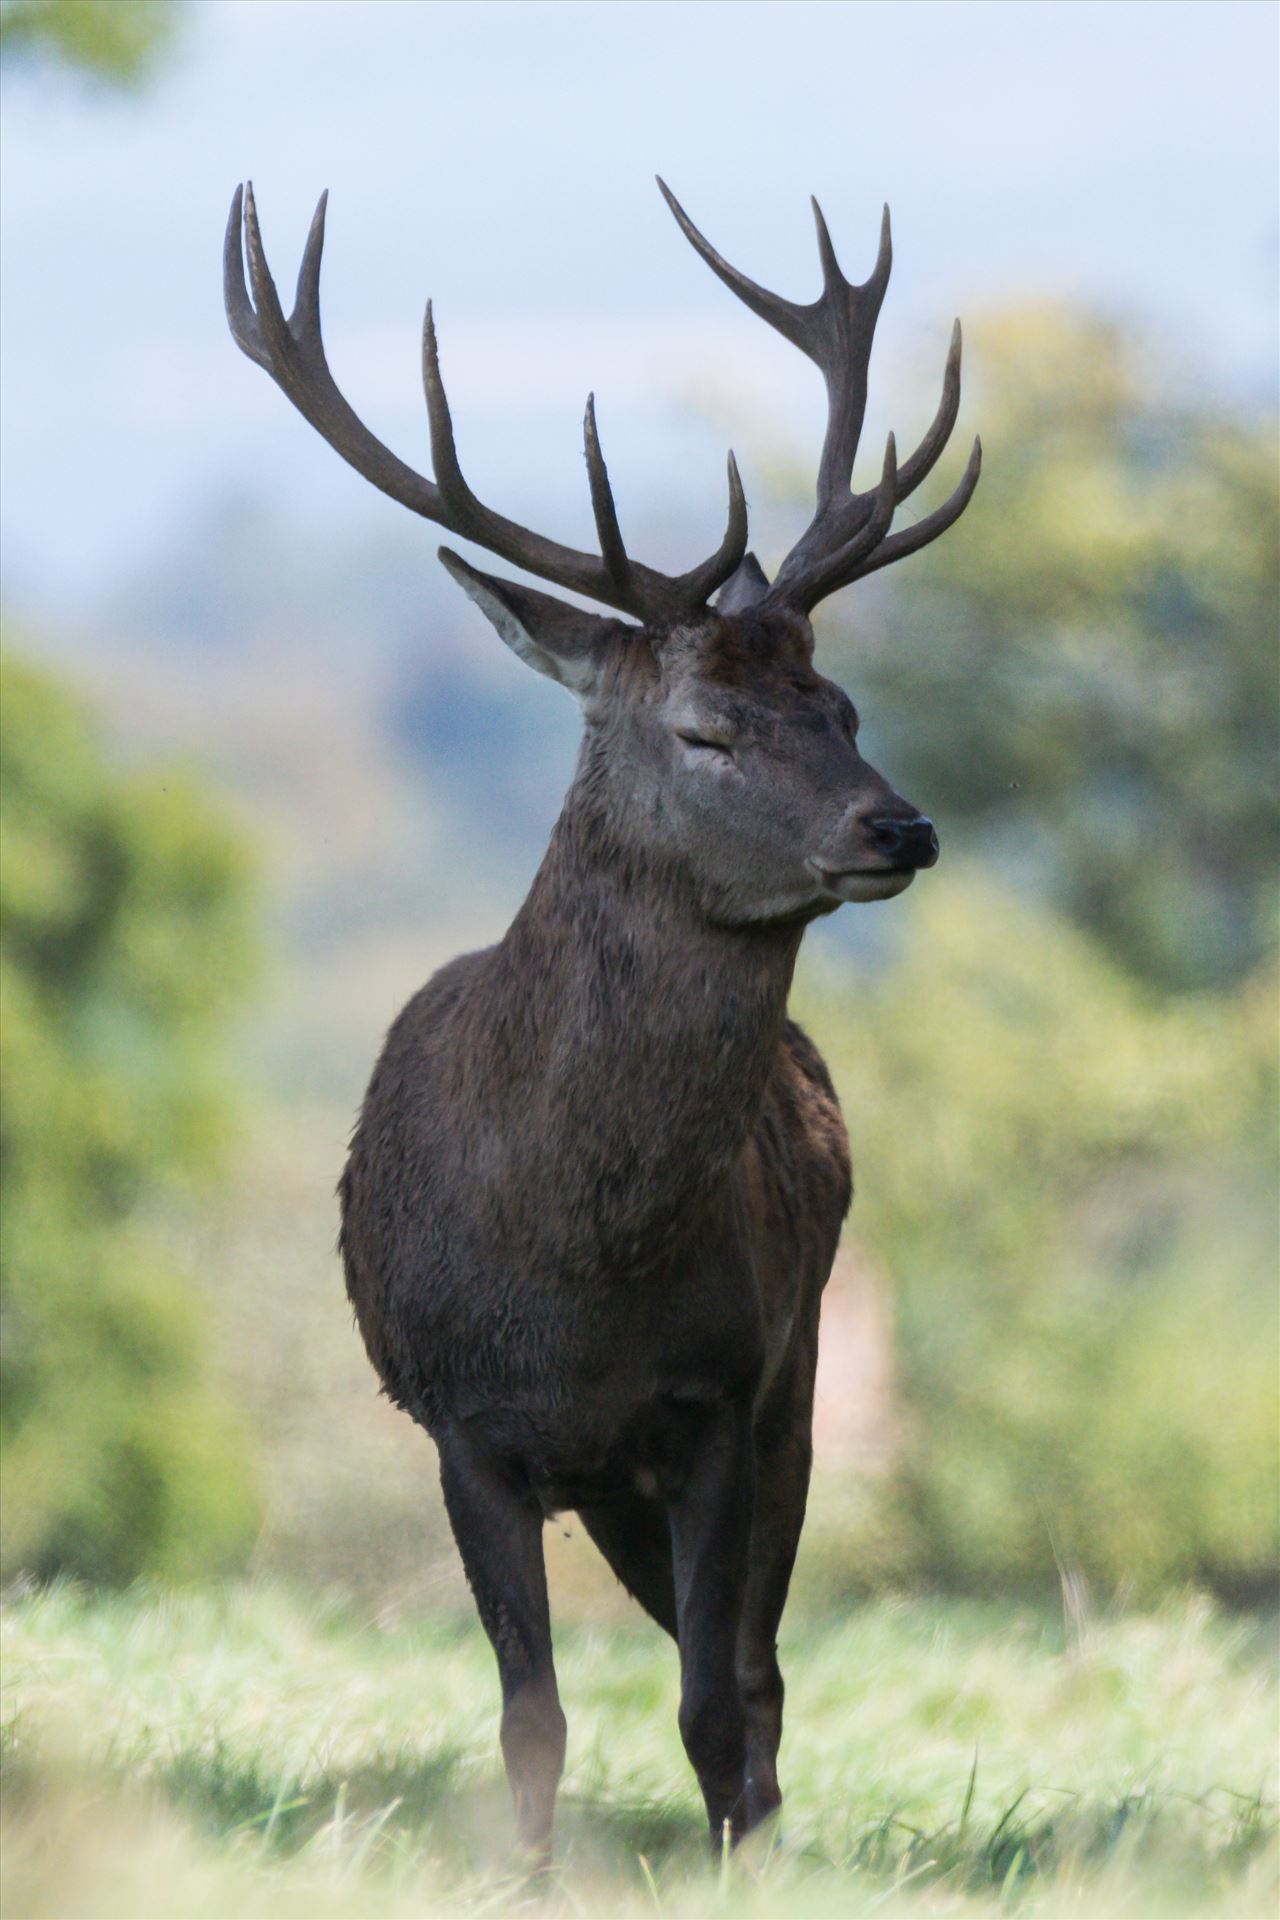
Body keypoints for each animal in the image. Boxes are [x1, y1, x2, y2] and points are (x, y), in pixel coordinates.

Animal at [225, 176, 982, 1858]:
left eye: (842, 708)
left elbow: (716, 1706)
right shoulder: (464, 1428)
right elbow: (532, 1722)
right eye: (703, 731)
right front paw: (528, 1878)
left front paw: (736, 1868)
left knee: (760, 1682)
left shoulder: (719, 1400)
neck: (581, 1275)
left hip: (802, 1385)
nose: (900, 827)